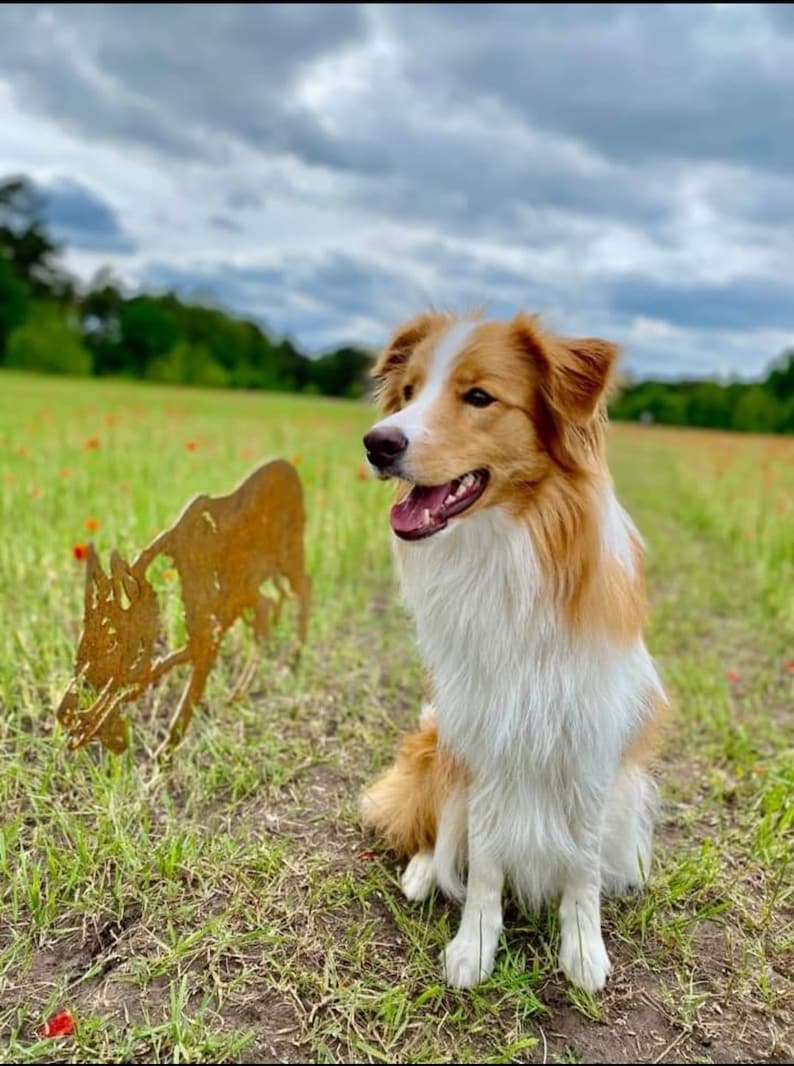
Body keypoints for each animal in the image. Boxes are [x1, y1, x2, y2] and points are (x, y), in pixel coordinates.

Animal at [362, 311, 665, 993]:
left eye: (479, 397)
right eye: (409, 392)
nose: (376, 443)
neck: (510, 542)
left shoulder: (589, 739)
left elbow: (581, 865)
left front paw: (583, 950)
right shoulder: (483, 733)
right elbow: (485, 859)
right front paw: (474, 946)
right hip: (440, 740)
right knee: (438, 828)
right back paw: (423, 872)